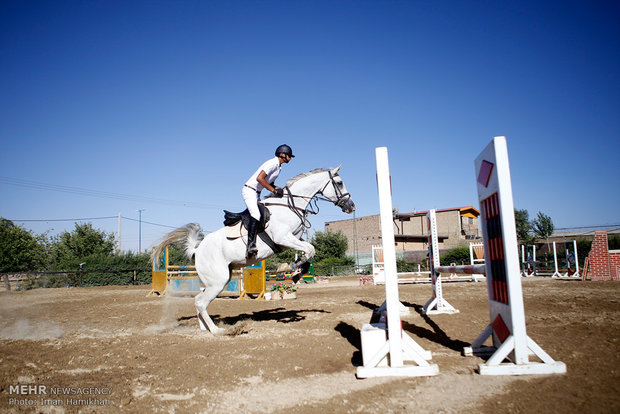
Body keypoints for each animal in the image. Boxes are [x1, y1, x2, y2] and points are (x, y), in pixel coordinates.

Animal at [151, 167, 354, 334]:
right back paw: (219, 331)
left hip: (217, 279)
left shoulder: (294, 238)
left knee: (199, 301)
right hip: (218, 280)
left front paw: (297, 272)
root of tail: (197, 249)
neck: (290, 205)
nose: (351, 206)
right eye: (339, 183)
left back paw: (205, 328)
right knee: (201, 302)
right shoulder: (283, 238)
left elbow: (310, 251)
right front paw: (291, 268)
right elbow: (310, 250)